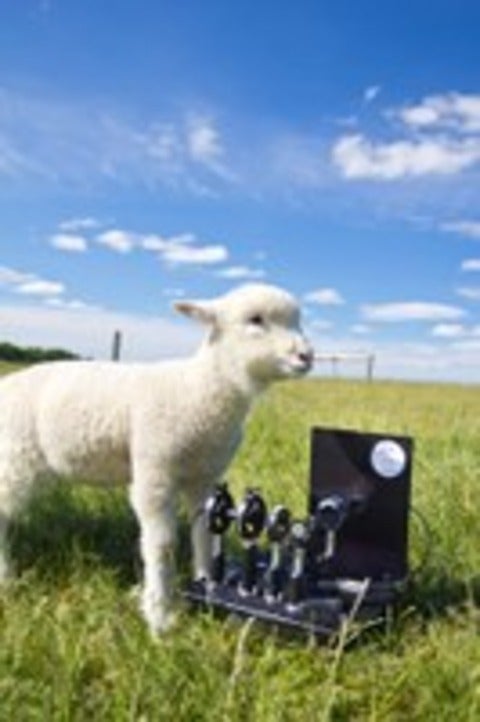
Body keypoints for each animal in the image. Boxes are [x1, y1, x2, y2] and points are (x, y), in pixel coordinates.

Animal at [0, 283, 314, 633]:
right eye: (255, 319)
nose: (306, 356)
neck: (199, 388)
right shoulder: (155, 469)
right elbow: (162, 546)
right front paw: (160, 616)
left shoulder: (206, 479)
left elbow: (204, 536)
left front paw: (206, 588)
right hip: (15, 455)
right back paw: (5, 576)